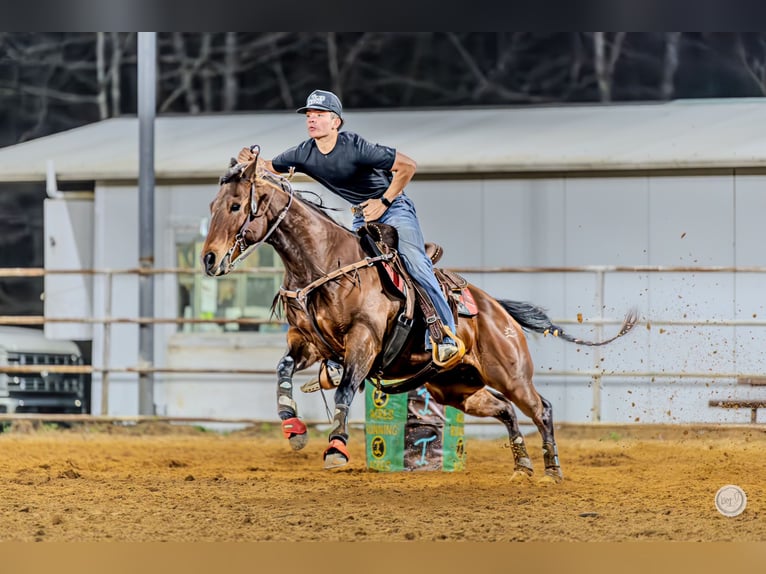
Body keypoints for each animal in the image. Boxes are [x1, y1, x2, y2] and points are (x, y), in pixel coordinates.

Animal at [201, 146, 638, 483]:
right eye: (213, 205)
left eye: (236, 205)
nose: (209, 259)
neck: (324, 261)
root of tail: (499, 311)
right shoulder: (307, 343)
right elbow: (283, 369)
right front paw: (293, 428)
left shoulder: (364, 340)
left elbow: (344, 390)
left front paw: (337, 448)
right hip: (457, 388)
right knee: (506, 410)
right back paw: (522, 467)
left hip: (509, 373)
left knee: (540, 408)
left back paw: (551, 471)